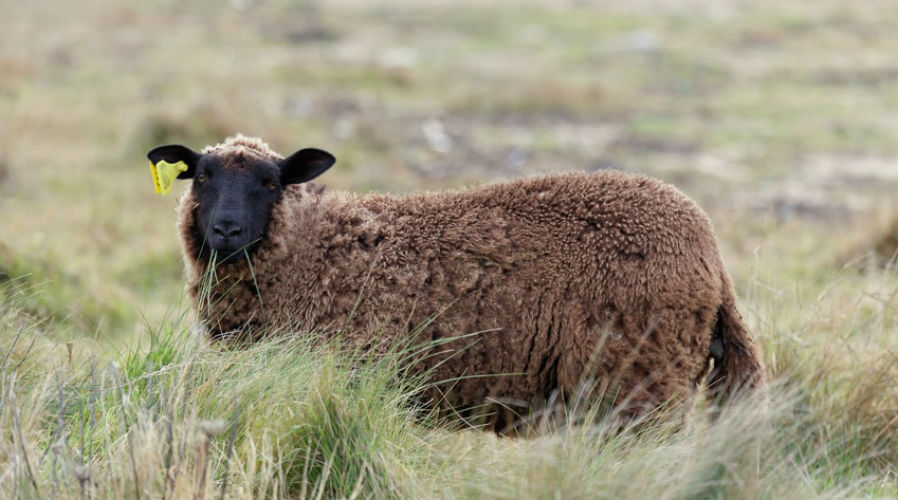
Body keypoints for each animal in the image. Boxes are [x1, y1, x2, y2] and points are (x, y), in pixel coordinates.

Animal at [149, 135, 768, 432]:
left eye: (271, 181)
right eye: (201, 176)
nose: (226, 230)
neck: (311, 249)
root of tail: (710, 252)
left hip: (639, 383)